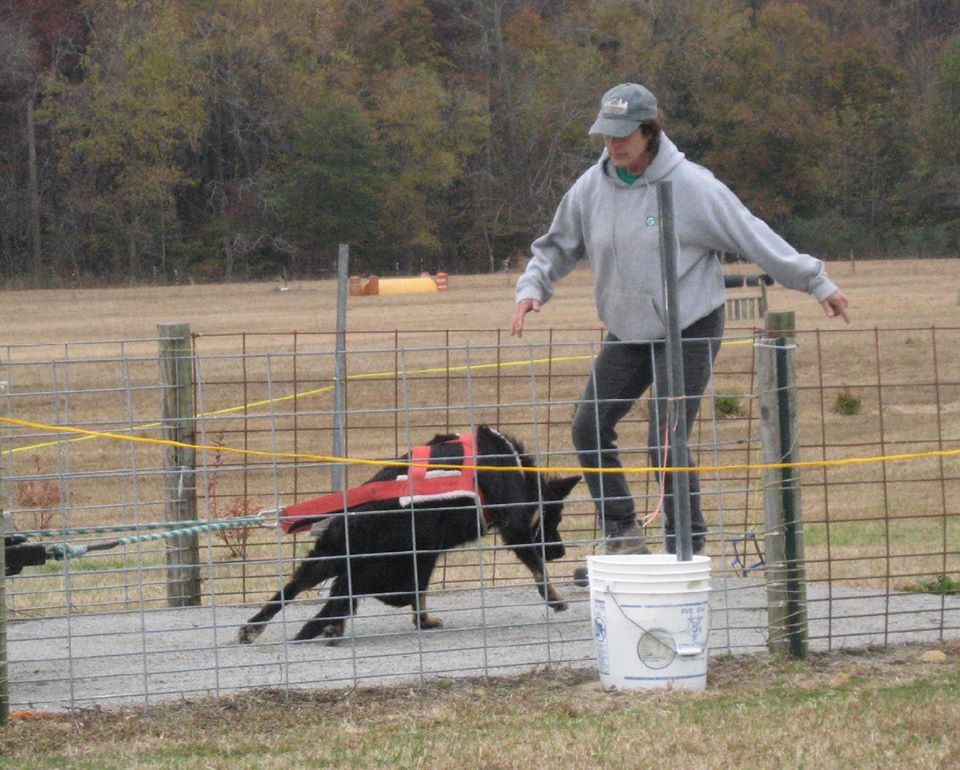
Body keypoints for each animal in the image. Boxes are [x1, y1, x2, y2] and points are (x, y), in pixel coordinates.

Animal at [237, 426, 576, 640]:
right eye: (555, 519)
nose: (561, 551)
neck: (518, 472)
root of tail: (354, 520)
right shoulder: (516, 528)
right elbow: (538, 569)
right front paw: (555, 598)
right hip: (412, 557)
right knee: (347, 597)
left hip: (337, 556)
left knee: (297, 589)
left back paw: (257, 627)